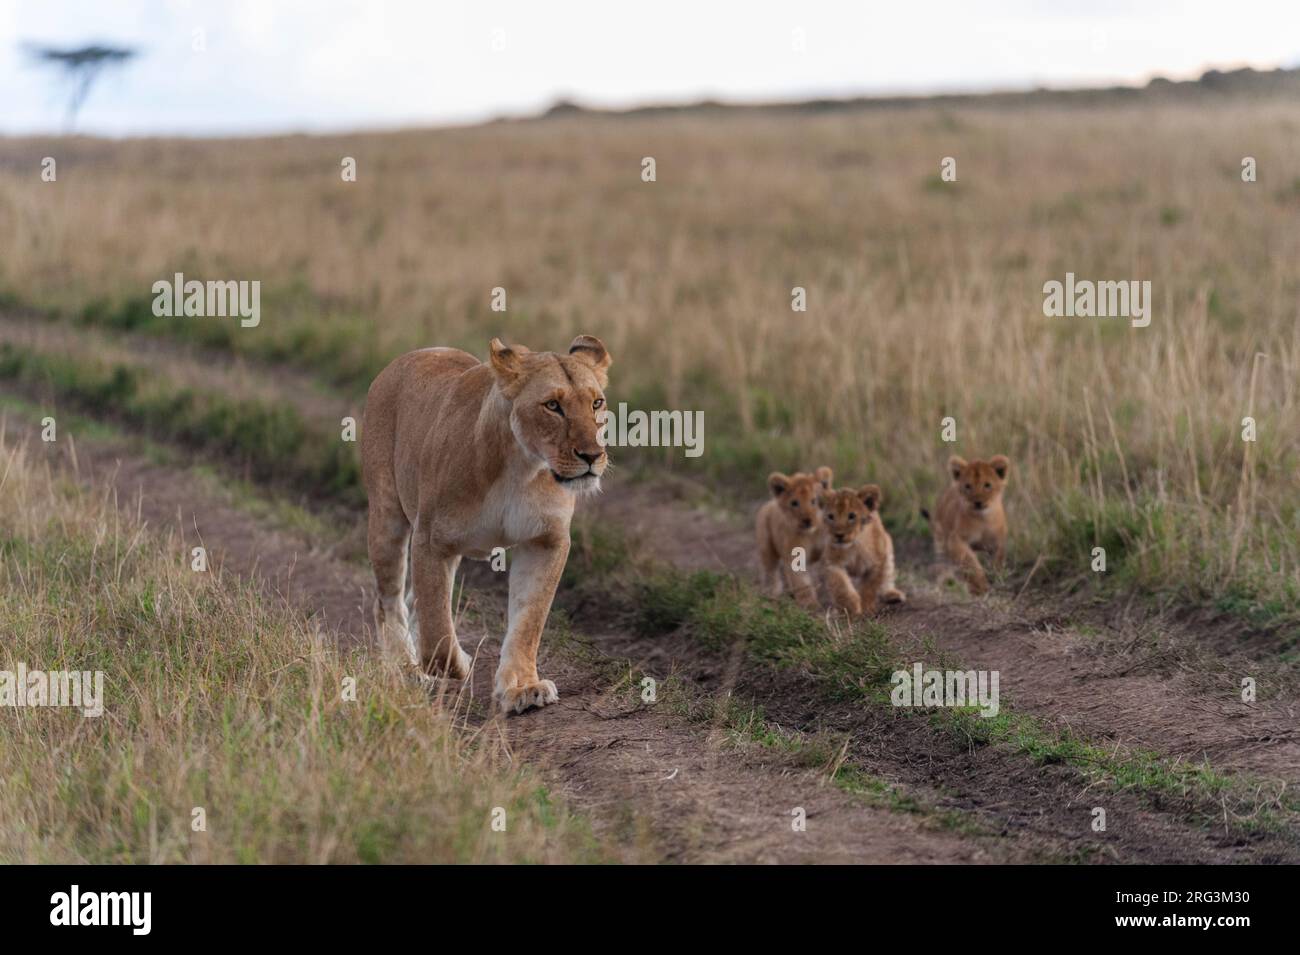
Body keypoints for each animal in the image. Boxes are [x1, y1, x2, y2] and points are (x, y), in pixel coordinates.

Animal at [361, 334, 611, 715]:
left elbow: (528, 620)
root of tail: (412, 355)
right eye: (552, 405)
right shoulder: (430, 541)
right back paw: (406, 668)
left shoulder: (546, 541)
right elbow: (437, 631)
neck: (521, 467)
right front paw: (458, 662)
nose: (592, 456)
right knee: (388, 600)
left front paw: (522, 688)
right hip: (388, 515)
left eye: (596, 403)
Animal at [755, 467, 833, 608]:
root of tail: (769, 503)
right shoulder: (795, 555)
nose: (807, 521)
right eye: (794, 503)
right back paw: (773, 593)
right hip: (767, 549)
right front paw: (809, 603)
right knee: (771, 572)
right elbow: (801, 582)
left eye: (814, 501)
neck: (811, 534)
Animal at [818, 485, 905, 615]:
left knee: (887, 575)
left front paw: (866, 607)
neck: (855, 545)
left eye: (852, 516)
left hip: (888, 549)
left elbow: (869, 587)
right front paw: (850, 608)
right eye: (831, 516)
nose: (839, 535)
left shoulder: (877, 562)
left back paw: (892, 595)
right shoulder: (832, 563)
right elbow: (841, 586)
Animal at [924, 454, 1010, 596]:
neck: (983, 519)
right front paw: (981, 586)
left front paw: (996, 579)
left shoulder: (998, 543)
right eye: (968, 486)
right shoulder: (955, 540)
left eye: (987, 485)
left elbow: (997, 562)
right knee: (946, 563)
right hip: (941, 541)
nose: (978, 502)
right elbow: (970, 562)